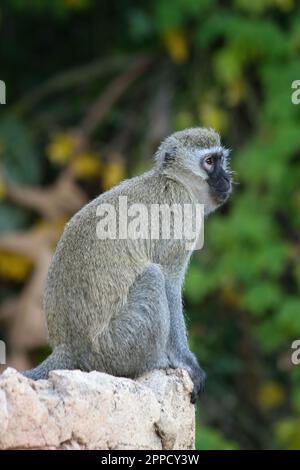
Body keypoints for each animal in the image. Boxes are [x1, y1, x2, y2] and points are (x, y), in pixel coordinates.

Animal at [22, 126, 232, 402]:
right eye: (209, 162)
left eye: (220, 159)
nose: (226, 178)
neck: (175, 181)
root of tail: (69, 347)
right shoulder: (182, 215)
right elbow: (169, 285)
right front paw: (188, 363)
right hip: (115, 347)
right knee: (153, 276)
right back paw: (154, 362)